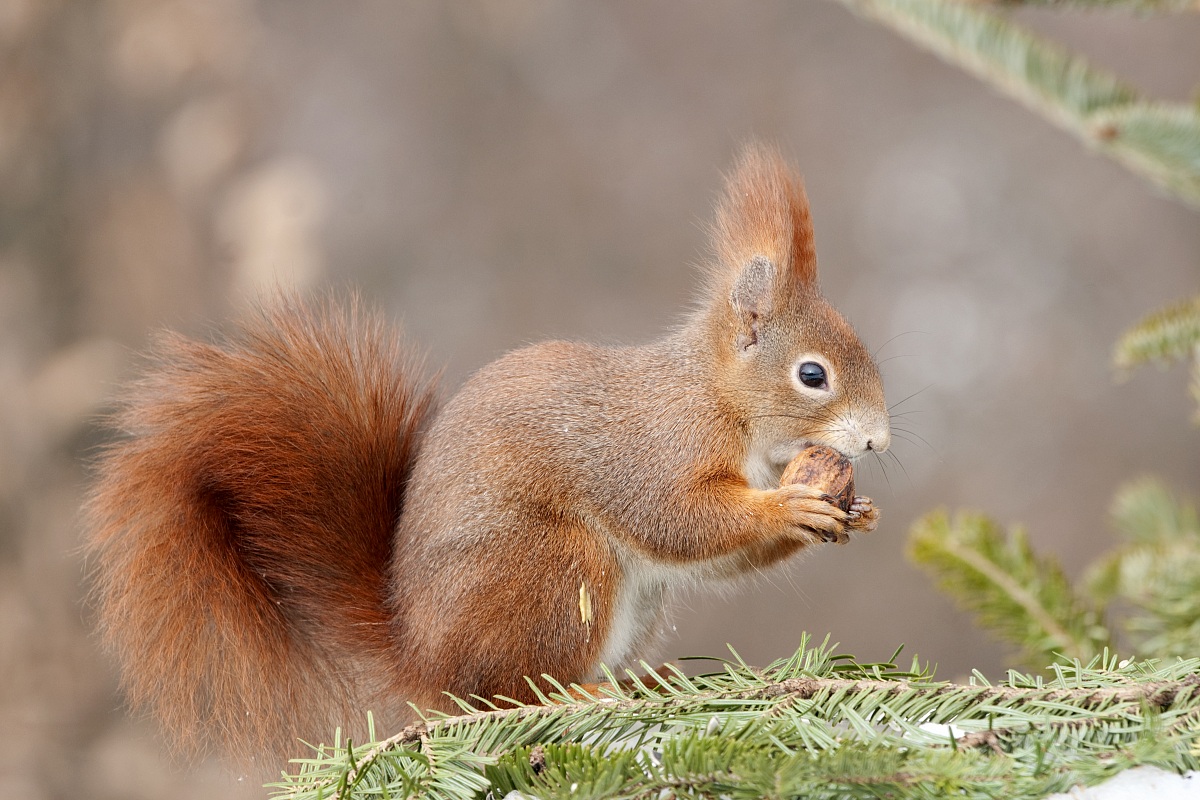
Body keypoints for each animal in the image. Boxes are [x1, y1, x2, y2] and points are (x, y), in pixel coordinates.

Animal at [84, 143, 890, 765]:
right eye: (812, 375)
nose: (879, 440)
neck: (721, 399)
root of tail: (423, 660)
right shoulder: (650, 448)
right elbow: (676, 519)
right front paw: (792, 505)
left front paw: (856, 511)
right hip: (554, 568)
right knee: (506, 690)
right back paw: (579, 693)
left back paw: (646, 685)